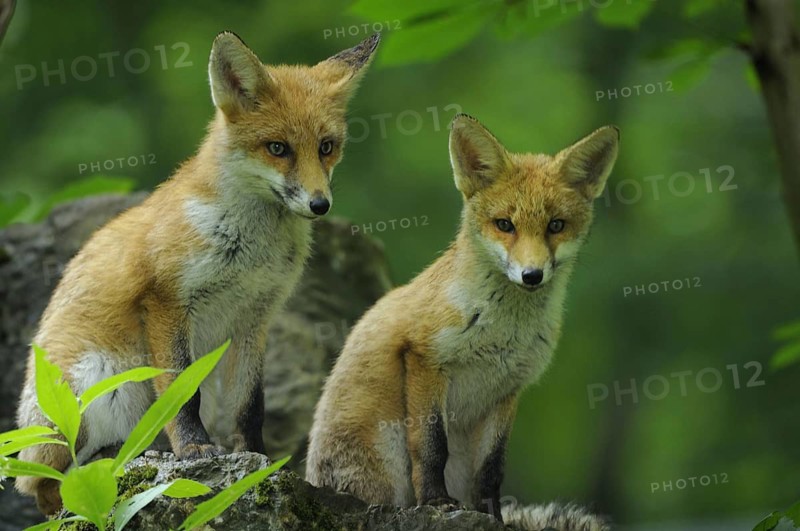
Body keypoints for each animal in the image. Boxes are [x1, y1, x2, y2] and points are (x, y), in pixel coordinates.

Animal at [15, 31, 380, 514]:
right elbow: (180, 394)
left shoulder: (255, 317)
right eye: (277, 148)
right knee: (53, 487)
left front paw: (258, 461)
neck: (249, 249)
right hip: (100, 382)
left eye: (326, 146)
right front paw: (193, 450)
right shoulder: (166, 300)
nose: (320, 205)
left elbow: (250, 405)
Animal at [306, 114, 618, 531]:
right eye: (504, 224)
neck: (503, 331)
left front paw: (492, 518)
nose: (532, 275)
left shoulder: (507, 389)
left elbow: (492, 470)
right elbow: (431, 448)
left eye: (556, 225)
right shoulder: (425, 359)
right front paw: (436, 502)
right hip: (385, 454)